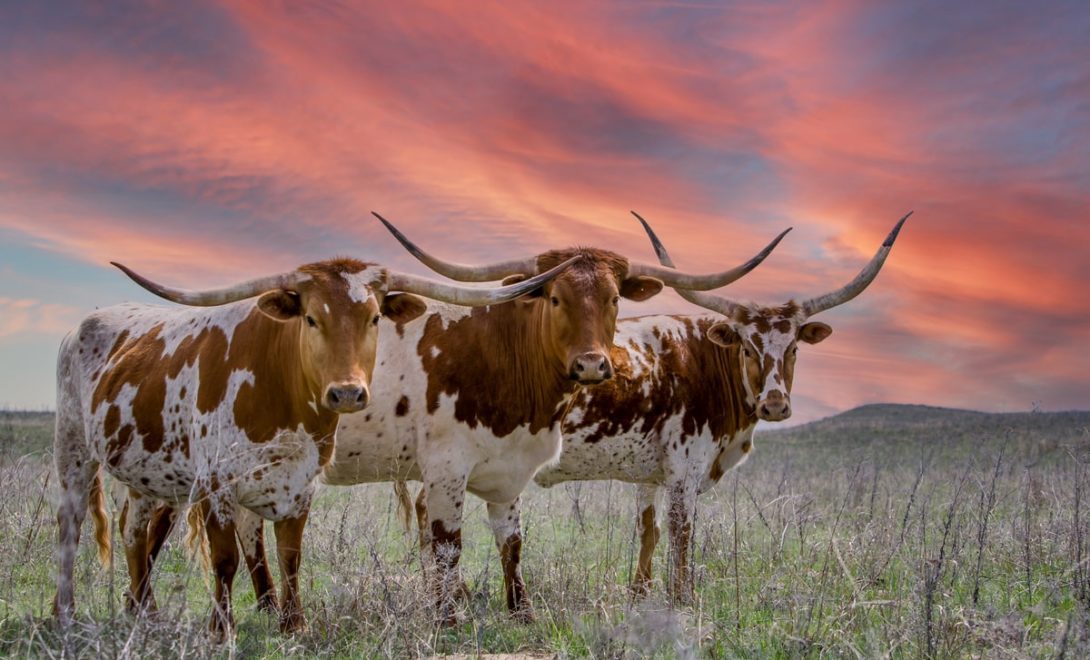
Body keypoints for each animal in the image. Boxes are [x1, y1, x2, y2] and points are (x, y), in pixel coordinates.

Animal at [54, 255, 575, 640]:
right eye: (310, 317)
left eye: (373, 317)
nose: (346, 393)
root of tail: (86, 322)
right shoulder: (216, 484)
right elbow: (224, 561)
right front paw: (221, 631)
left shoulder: (301, 485)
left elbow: (290, 556)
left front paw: (293, 625)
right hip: (74, 452)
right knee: (71, 528)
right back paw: (65, 612)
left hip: (148, 475)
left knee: (134, 533)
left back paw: (145, 613)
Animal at [527, 213, 911, 605]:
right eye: (747, 348)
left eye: (793, 349)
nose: (775, 405)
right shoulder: (685, 470)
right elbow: (681, 534)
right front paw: (682, 598)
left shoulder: (649, 475)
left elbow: (649, 531)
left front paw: (639, 595)